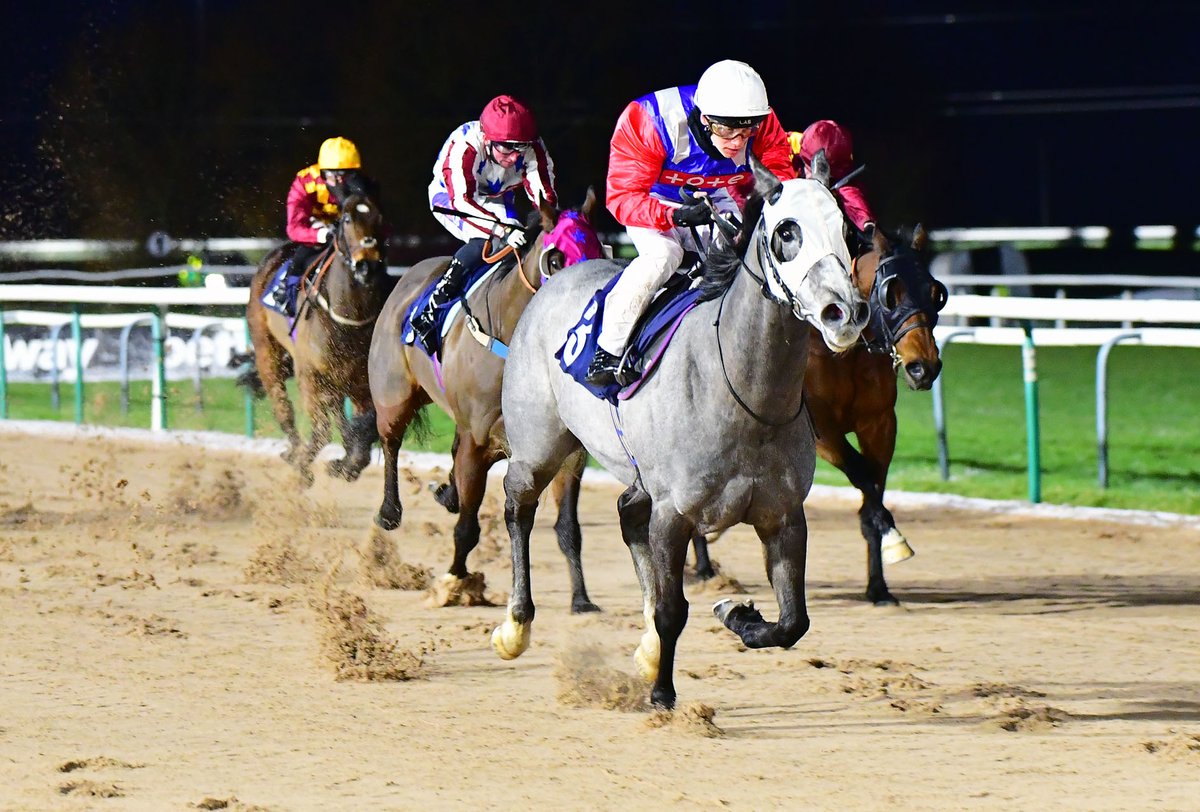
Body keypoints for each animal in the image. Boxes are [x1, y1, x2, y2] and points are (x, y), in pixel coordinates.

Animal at [246, 194, 391, 486]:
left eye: (380, 217)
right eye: (346, 219)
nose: (367, 265)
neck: (347, 318)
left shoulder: (360, 381)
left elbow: (365, 428)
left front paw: (346, 464)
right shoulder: (310, 373)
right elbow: (323, 430)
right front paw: (303, 466)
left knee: (337, 411)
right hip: (267, 350)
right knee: (283, 407)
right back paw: (295, 452)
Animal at [364, 188, 604, 609]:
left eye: (599, 249)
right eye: (555, 259)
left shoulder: (569, 450)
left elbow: (568, 527)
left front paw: (581, 598)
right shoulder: (478, 441)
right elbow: (467, 528)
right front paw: (455, 582)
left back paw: (447, 493)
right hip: (394, 395)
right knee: (390, 440)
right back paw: (389, 512)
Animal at [492, 153, 868, 710]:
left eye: (846, 229)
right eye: (786, 230)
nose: (843, 312)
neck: (744, 394)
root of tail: (556, 279)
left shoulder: (783, 514)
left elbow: (793, 622)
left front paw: (737, 615)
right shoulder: (674, 513)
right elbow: (673, 610)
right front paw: (662, 692)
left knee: (627, 513)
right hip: (539, 446)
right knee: (519, 504)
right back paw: (515, 626)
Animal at [696, 224, 945, 604]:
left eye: (935, 292)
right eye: (891, 293)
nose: (924, 367)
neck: (844, 354)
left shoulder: (880, 424)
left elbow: (873, 484)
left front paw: (879, 584)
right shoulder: (822, 432)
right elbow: (862, 476)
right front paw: (894, 539)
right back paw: (703, 566)